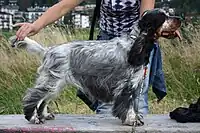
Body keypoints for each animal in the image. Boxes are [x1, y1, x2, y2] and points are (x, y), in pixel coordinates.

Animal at [9, 9, 181, 125]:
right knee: (33, 96)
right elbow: (128, 106)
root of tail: (48, 50)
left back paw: (44, 115)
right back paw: (33, 118)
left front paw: (136, 118)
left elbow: (134, 105)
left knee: (43, 100)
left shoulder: (135, 85)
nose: (179, 18)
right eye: (163, 17)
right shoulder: (126, 86)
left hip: (56, 83)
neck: (135, 44)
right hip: (52, 81)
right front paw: (132, 120)